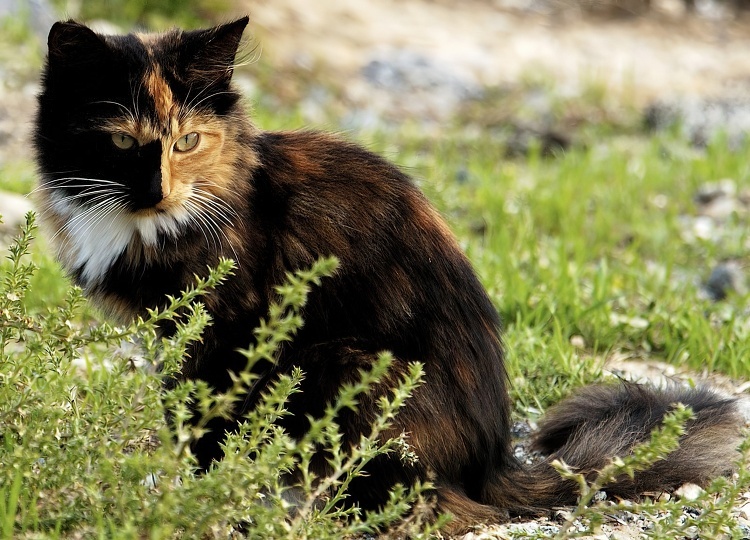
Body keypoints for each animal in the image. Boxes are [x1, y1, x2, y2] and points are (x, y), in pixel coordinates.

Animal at [33, 17, 748, 536]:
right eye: (123, 143)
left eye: (187, 142)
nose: (158, 191)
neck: (146, 225)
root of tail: (491, 463)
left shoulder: (224, 332)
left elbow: (203, 422)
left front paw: (206, 498)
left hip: (342, 364)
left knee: (432, 510)